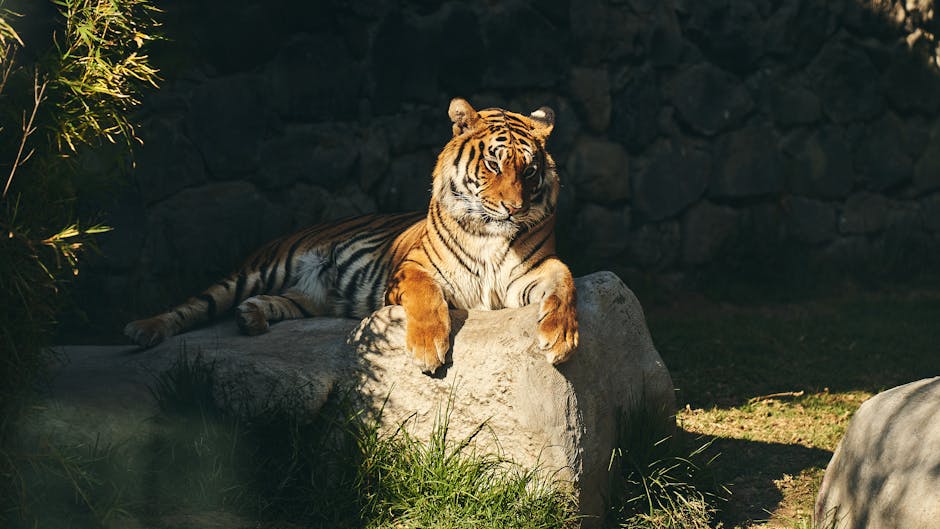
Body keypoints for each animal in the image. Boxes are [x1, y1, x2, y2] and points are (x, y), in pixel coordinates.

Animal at [124, 98, 578, 374]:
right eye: (493, 164)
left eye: (529, 170)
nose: (514, 208)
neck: (490, 237)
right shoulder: (412, 270)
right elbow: (427, 297)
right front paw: (427, 348)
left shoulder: (531, 272)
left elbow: (565, 281)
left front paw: (561, 338)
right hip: (257, 271)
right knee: (194, 304)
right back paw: (144, 329)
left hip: (307, 298)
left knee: (284, 303)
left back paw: (251, 317)